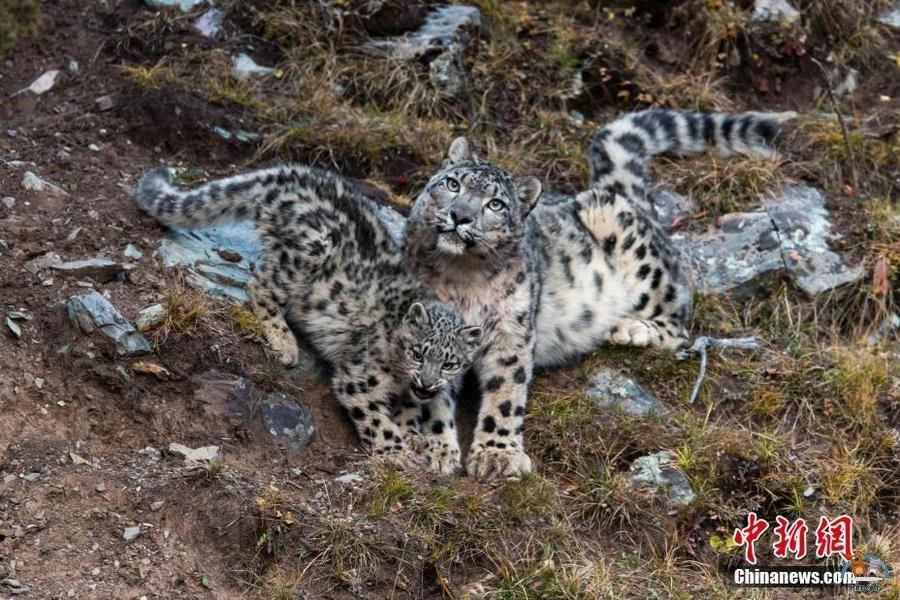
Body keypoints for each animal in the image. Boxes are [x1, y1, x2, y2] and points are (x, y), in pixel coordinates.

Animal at [132, 165, 486, 474]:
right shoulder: (358, 376)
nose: (427, 382)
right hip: (310, 249)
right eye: (417, 353)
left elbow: (408, 415)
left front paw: (418, 440)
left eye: (450, 363)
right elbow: (377, 419)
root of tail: (288, 174)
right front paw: (398, 452)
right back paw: (284, 342)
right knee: (259, 283)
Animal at [408, 110, 796, 480]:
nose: (460, 216)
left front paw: (497, 456)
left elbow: (506, 393)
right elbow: (430, 393)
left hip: (629, 244)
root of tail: (622, 195)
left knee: (678, 323)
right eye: (452, 184)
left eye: (496, 205)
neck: (464, 278)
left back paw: (630, 329)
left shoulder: (511, 333)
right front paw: (434, 448)